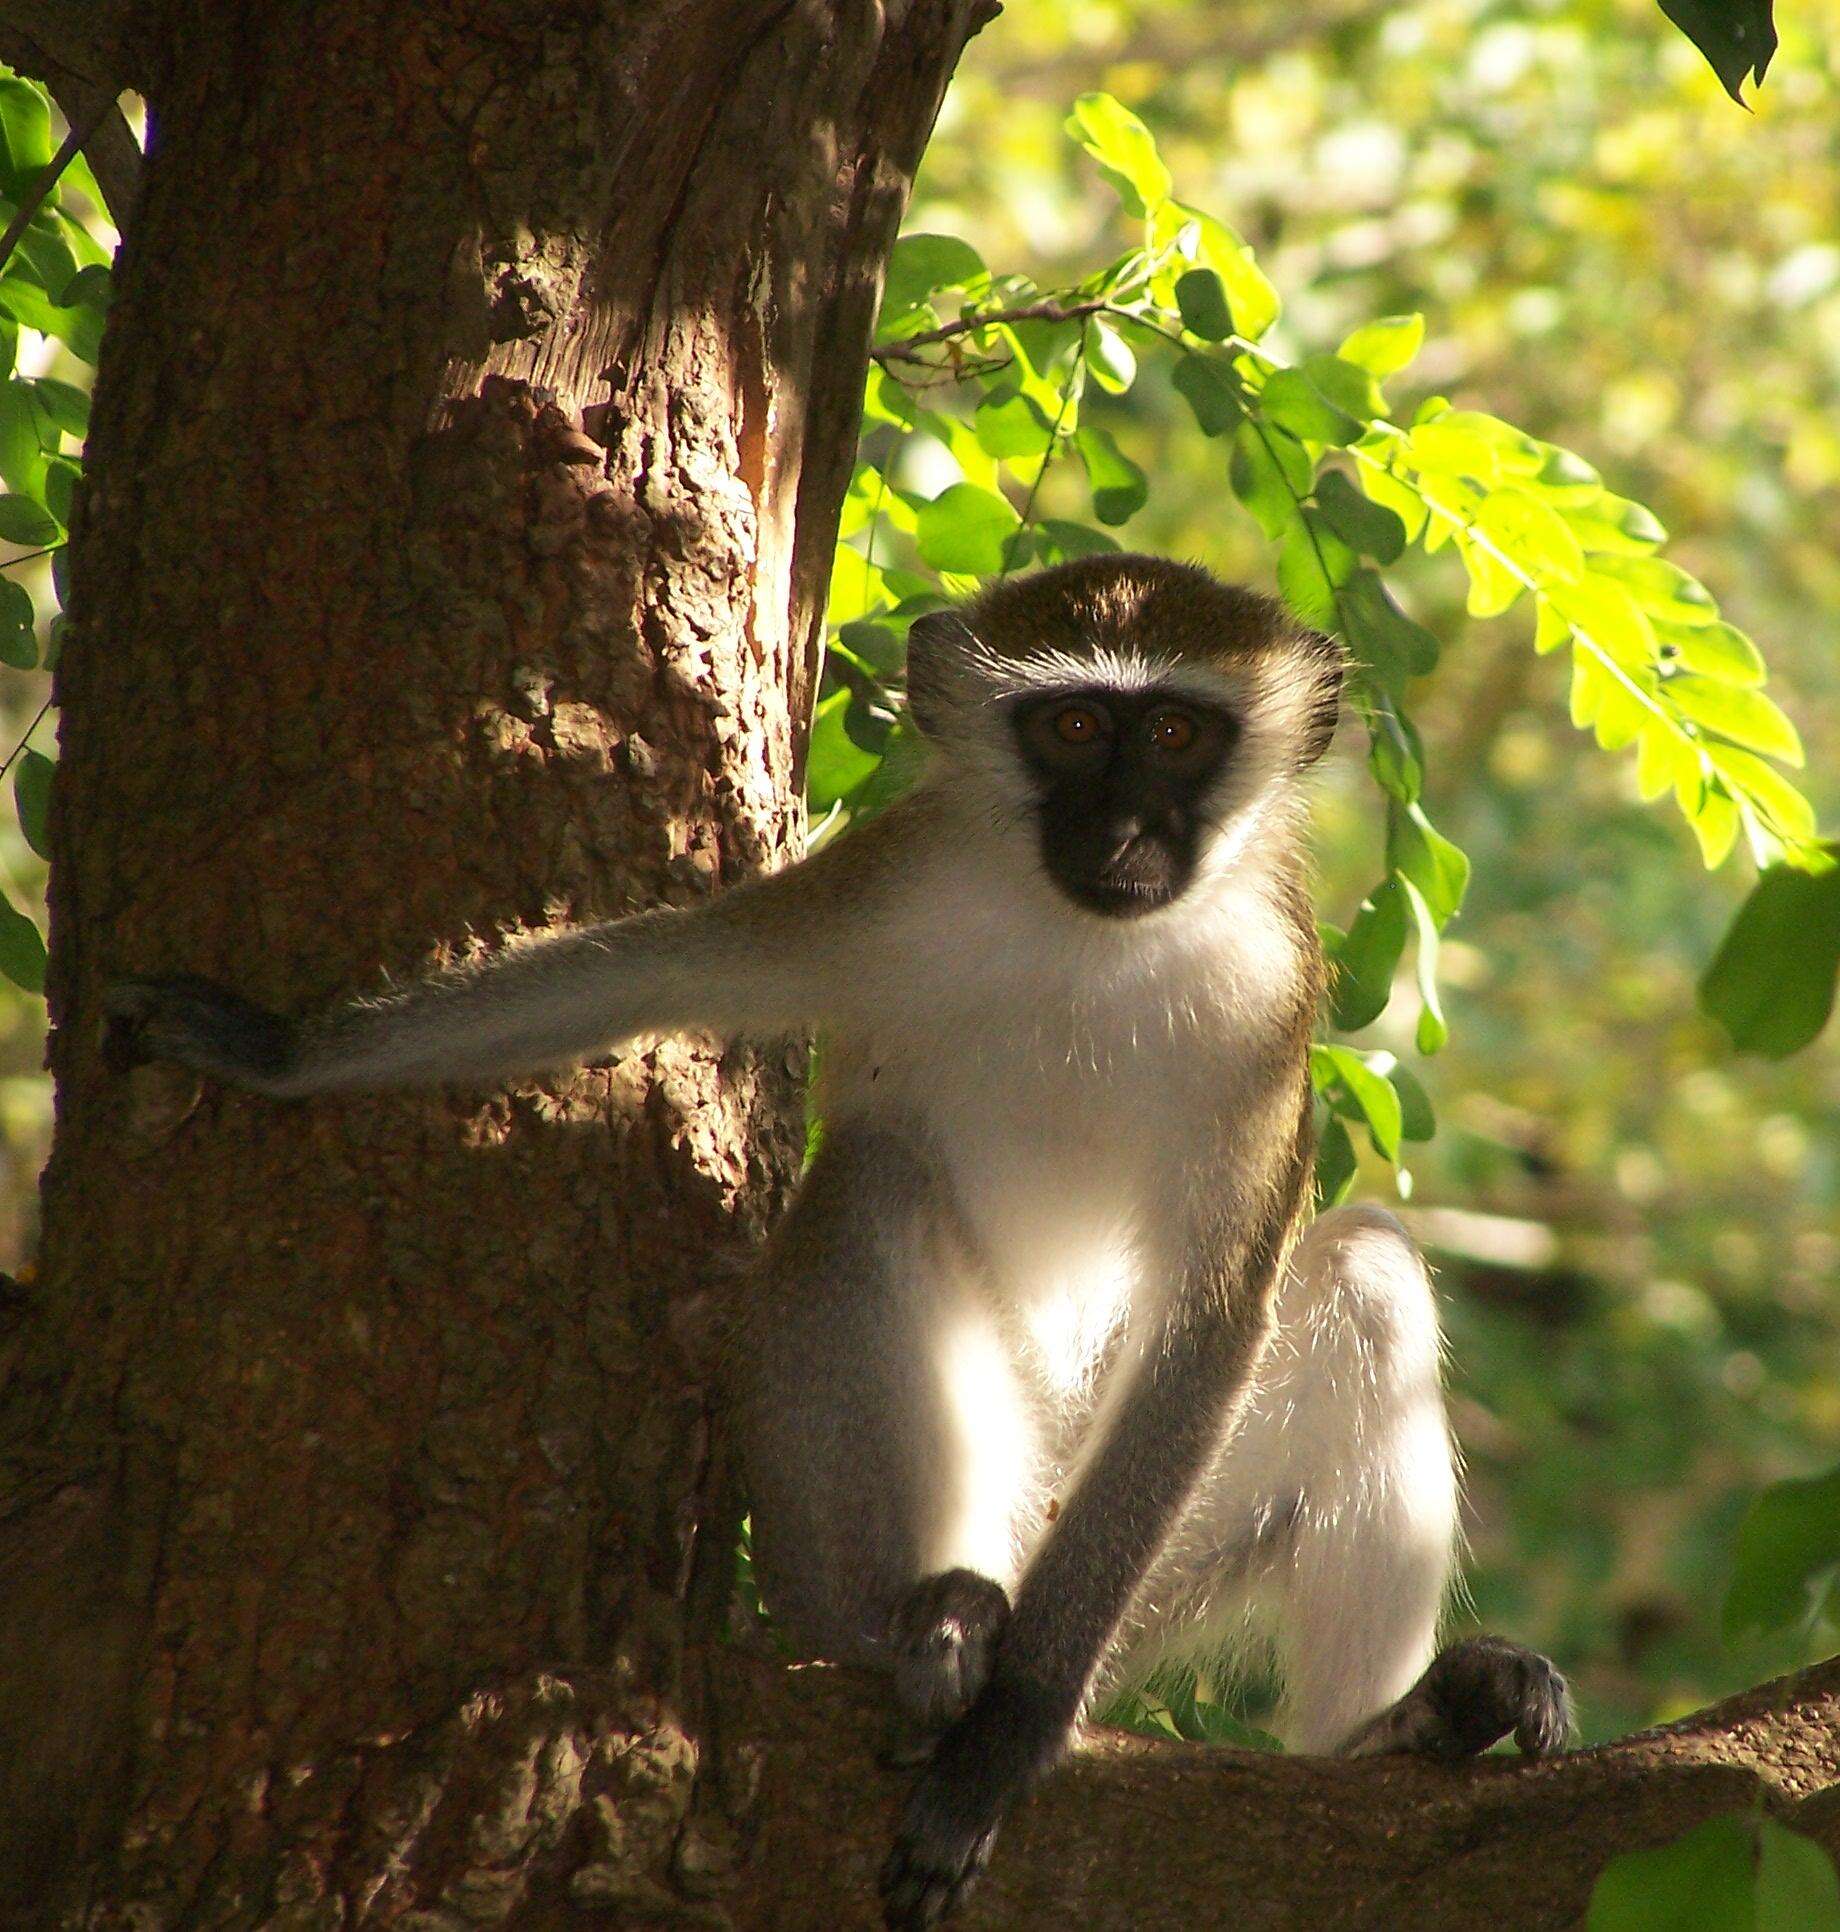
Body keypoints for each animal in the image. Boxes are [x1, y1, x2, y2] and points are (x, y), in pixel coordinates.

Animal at [104, 552, 1569, 1924]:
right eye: (1073, 730)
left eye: (1174, 735)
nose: (1124, 828)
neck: (1081, 943)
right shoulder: (889, 883)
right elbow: (654, 966)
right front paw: (278, 1052)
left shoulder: (1271, 1005)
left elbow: (1214, 1319)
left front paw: (1012, 1731)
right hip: (954, 1493)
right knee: (866, 1188)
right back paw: (921, 1631)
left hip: (1133, 1556)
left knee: (1367, 1276)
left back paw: (1388, 1730)